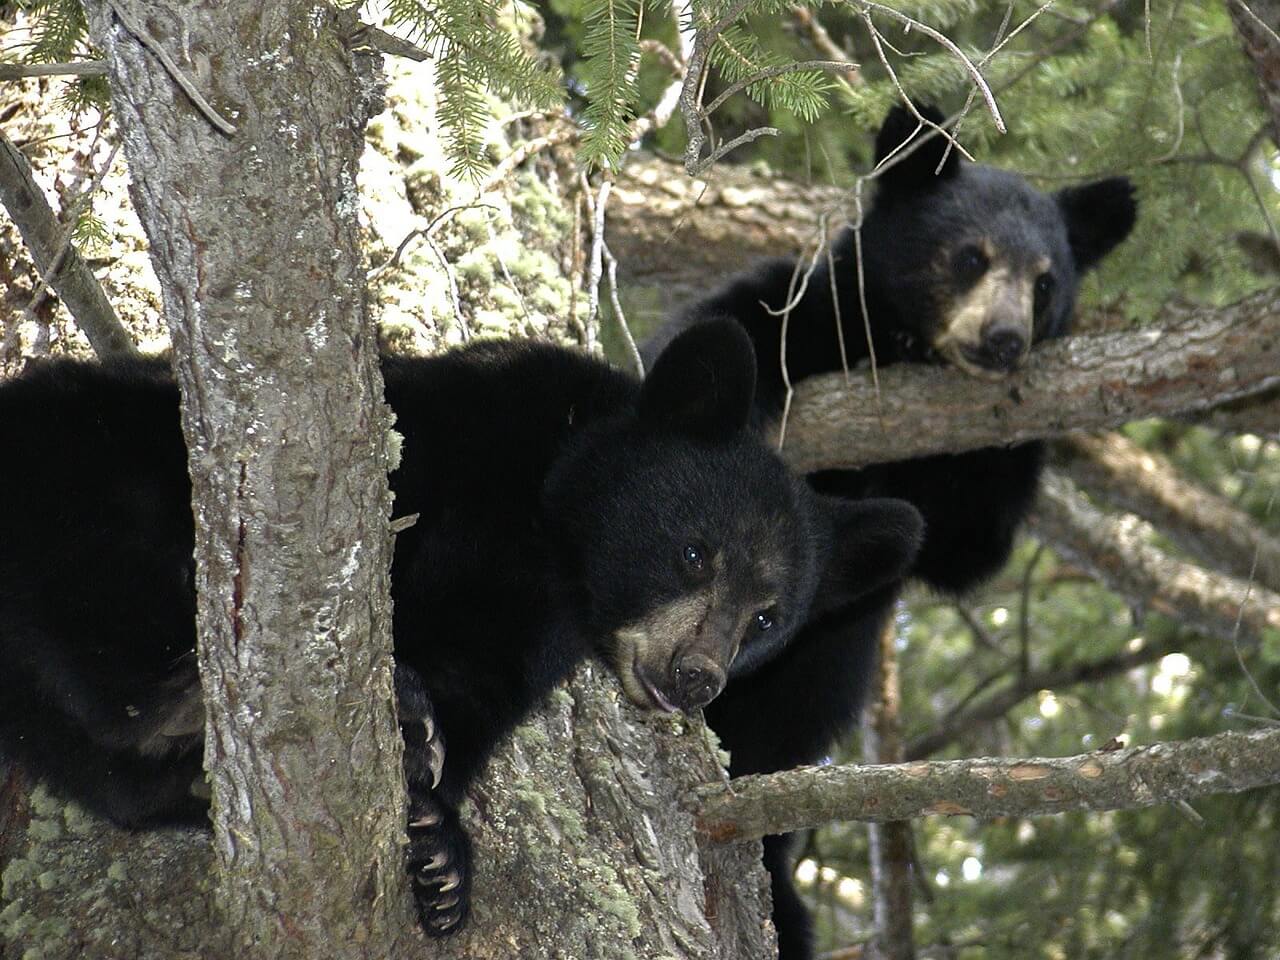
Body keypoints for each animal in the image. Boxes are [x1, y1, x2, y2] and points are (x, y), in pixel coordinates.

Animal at [0, 319, 924, 938]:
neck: (549, 524)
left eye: (768, 617)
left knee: (113, 780)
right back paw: (177, 698)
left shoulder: (530, 627)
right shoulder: (453, 433)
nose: (697, 676)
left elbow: (474, 694)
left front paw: (440, 851)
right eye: (695, 553)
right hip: (89, 452)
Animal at [645, 105, 1138, 959]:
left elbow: (967, 546)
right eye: (971, 256)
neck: (903, 345)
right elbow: (710, 340)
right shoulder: (808, 308)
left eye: (1046, 283)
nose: (1004, 339)